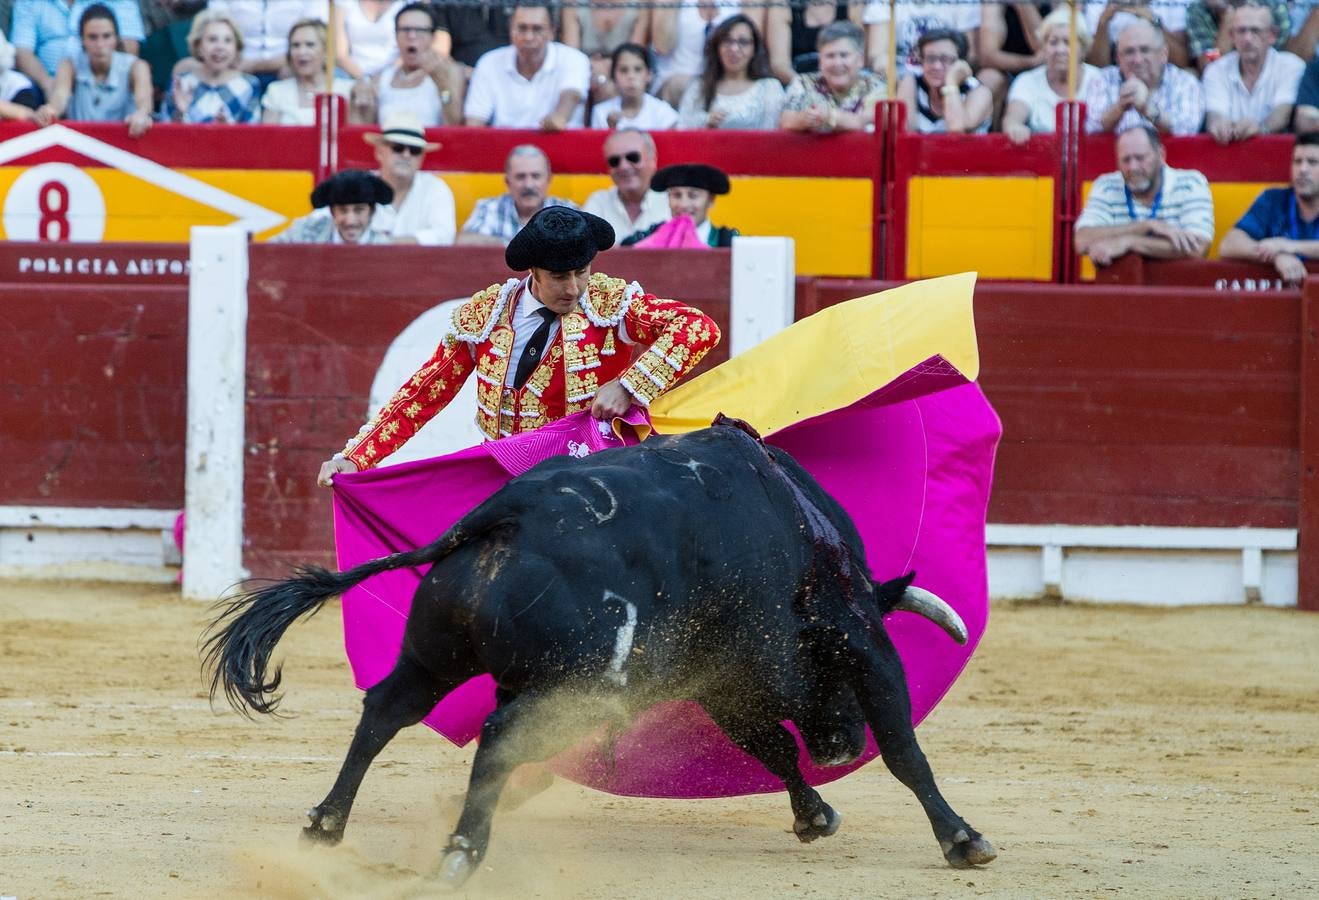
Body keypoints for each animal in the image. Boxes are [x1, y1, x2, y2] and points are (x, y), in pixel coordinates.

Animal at [203, 417, 991, 886]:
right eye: (830, 668)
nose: (839, 743)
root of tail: (502, 516)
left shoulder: (720, 676)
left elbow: (767, 744)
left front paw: (814, 814)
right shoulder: (858, 641)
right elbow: (901, 748)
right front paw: (961, 839)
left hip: (435, 655)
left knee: (384, 711)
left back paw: (326, 824)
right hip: (570, 682)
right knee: (496, 736)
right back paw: (461, 851)